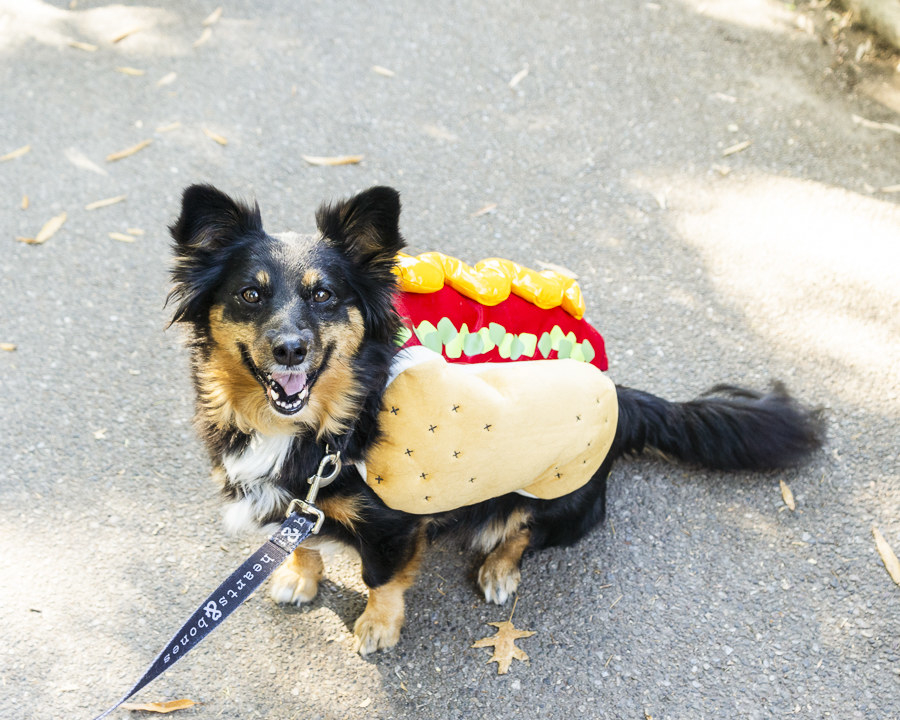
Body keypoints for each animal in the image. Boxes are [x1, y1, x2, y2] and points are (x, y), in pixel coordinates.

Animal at [167, 183, 824, 656]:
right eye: (251, 295)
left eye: (323, 295)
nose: (290, 350)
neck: (327, 424)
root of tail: (618, 393)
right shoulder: (297, 504)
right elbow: (300, 542)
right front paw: (298, 578)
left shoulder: (394, 526)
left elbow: (382, 580)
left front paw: (378, 628)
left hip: (558, 492)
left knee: (527, 532)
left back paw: (499, 570)